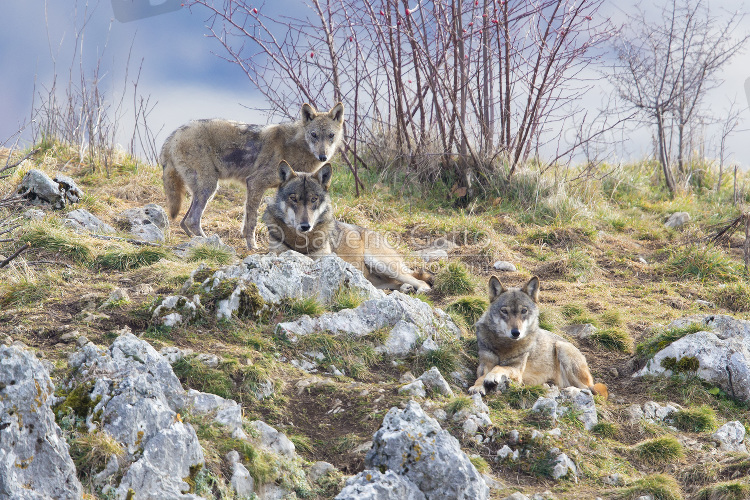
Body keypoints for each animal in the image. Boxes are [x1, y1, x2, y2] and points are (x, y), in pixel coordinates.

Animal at [162, 102, 346, 249]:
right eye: (314, 135)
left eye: (331, 136)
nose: (323, 157)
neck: (295, 147)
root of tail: (173, 135)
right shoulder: (255, 183)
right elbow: (252, 221)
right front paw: (252, 246)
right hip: (209, 187)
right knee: (192, 220)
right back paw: (214, 244)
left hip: (203, 190)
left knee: (184, 221)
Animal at [262, 160, 434, 292]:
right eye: (293, 198)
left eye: (314, 199)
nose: (305, 226)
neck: (300, 241)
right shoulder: (277, 253)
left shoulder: (323, 258)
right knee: (393, 283)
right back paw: (406, 288)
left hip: (382, 263)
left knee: (419, 280)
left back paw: (420, 289)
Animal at [470, 276, 612, 396]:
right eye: (504, 311)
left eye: (524, 311)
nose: (516, 332)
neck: (505, 345)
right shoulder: (484, 363)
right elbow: (481, 376)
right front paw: (477, 386)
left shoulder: (517, 370)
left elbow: (499, 366)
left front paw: (491, 376)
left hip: (562, 348)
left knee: (588, 390)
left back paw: (570, 390)